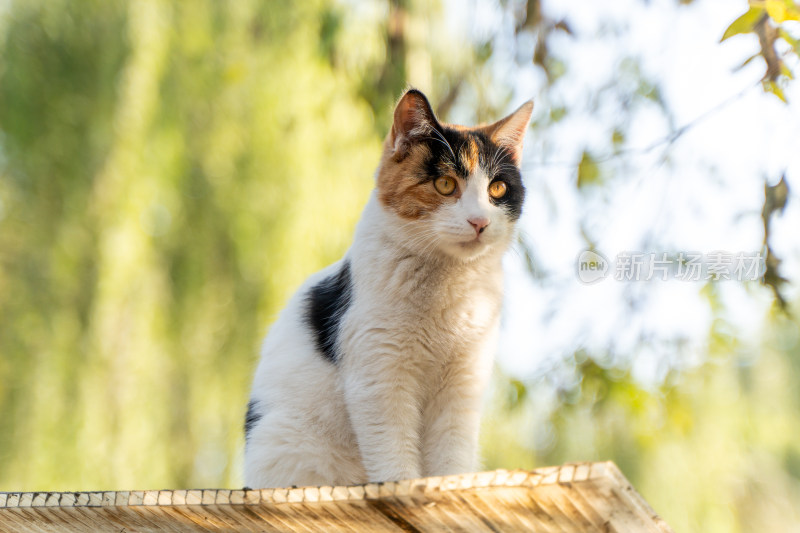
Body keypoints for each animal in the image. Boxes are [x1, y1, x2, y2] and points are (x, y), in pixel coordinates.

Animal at [244, 90, 532, 486]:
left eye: (497, 189)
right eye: (445, 185)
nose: (479, 222)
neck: (447, 283)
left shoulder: (463, 384)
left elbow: (451, 456)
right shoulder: (379, 377)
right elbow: (393, 457)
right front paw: (406, 490)